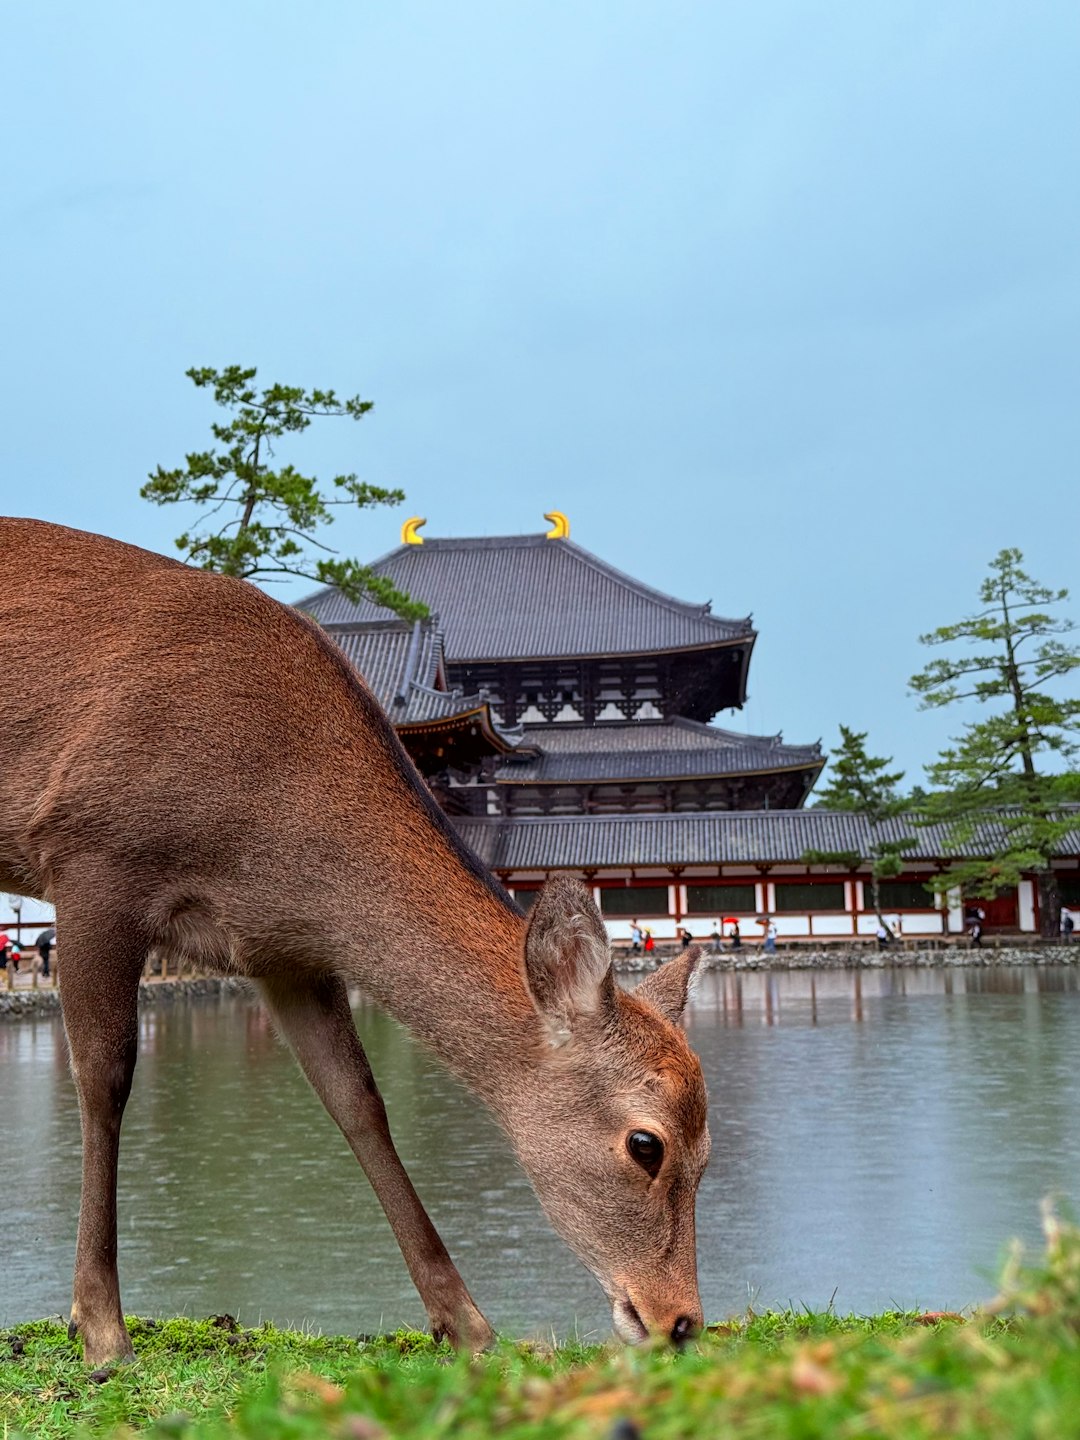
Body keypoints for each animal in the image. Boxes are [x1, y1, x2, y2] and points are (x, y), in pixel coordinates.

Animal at [0, 517, 710, 1366]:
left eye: (709, 1150)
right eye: (646, 1144)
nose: (681, 1321)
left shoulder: (281, 953)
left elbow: (358, 1101)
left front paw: (467, 1323)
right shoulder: (92, 857)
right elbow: (104, 1077)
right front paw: (102, 1327)